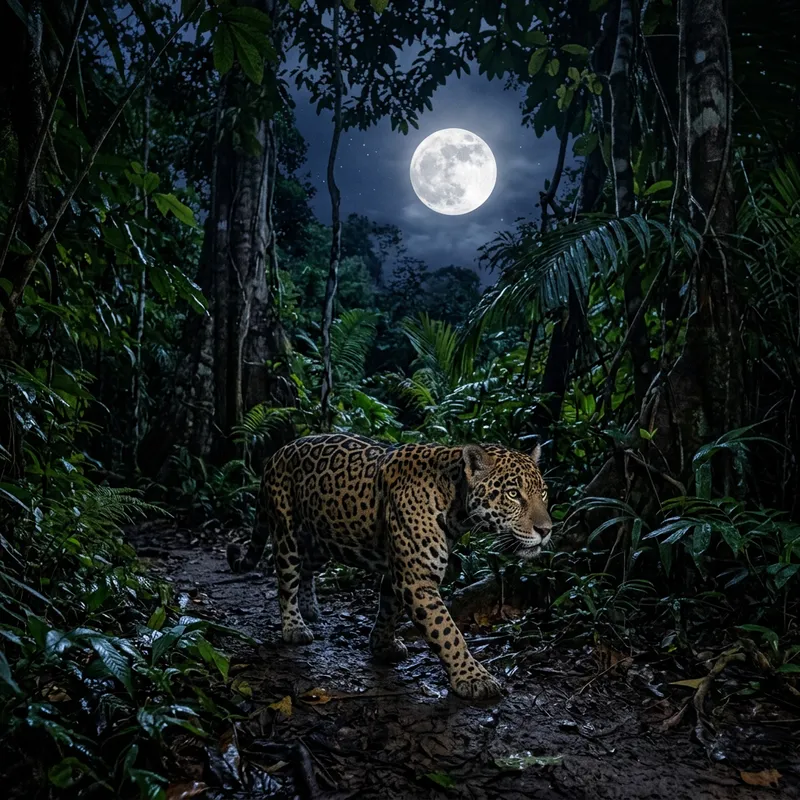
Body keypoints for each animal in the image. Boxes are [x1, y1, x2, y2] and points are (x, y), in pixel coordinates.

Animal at [227, 433, 552, 700]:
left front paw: (382, 646)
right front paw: (473, 678)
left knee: (307, 570)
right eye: (513, 494)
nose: (546, 530)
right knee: (285, 581)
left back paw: (310, 609)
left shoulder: (402, 570)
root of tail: (277, 452)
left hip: (324, 538)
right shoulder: (416, 578)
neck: (455, 501)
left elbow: (388, 607)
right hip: (287, 533)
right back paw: (295, 627)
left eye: (544, 493)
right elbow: (447, 632)